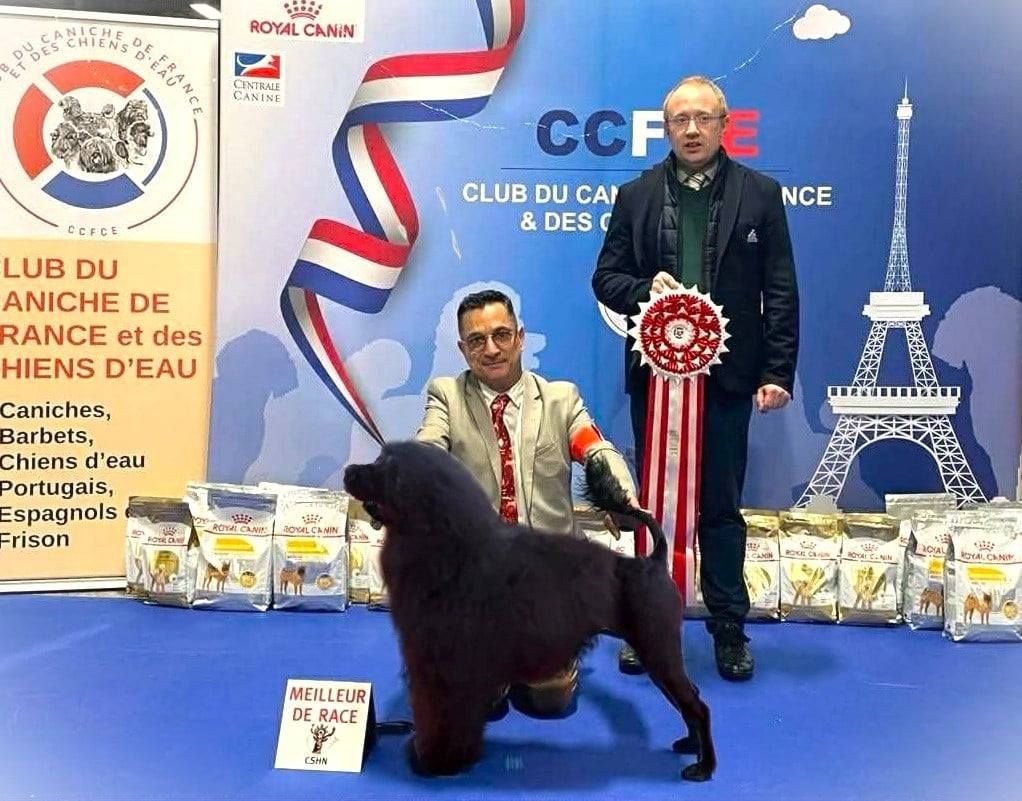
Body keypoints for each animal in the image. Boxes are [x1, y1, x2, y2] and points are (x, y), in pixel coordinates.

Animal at [343, 440, 715, 781]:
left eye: (385, 467)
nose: (348, 472)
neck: (448, 548)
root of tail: (653, 562)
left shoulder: (445, 668)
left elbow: (441, 715)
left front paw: (436, 761)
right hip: (657, 653)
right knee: (690, 699)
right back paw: (688, 746)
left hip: (657, 648)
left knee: (698, 706)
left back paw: (703, 767)